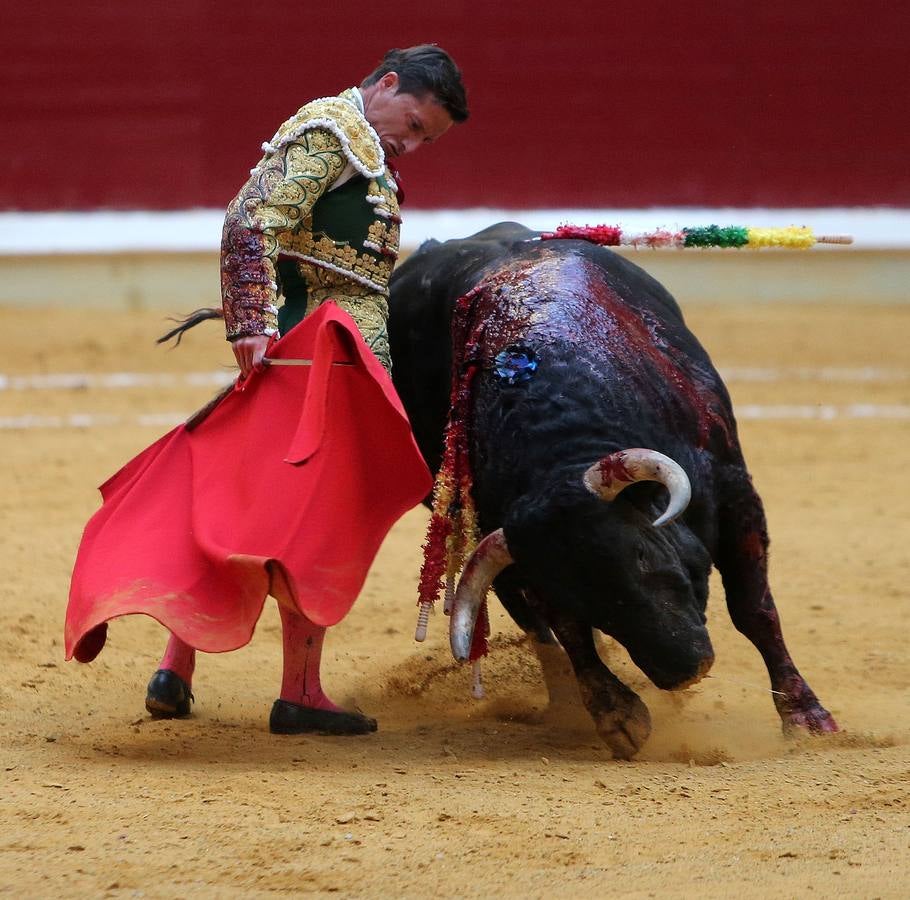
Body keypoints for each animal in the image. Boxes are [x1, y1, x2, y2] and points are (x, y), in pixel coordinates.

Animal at [386, 221, 840, 756]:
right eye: (574, 590)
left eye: (641, 554)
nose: (684, 671)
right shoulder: (516, 546)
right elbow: (567, 629)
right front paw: (617, 716)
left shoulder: (735, 491)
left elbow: (753, 608)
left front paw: (805, 716)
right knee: (529, 620)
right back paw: (566, 705)